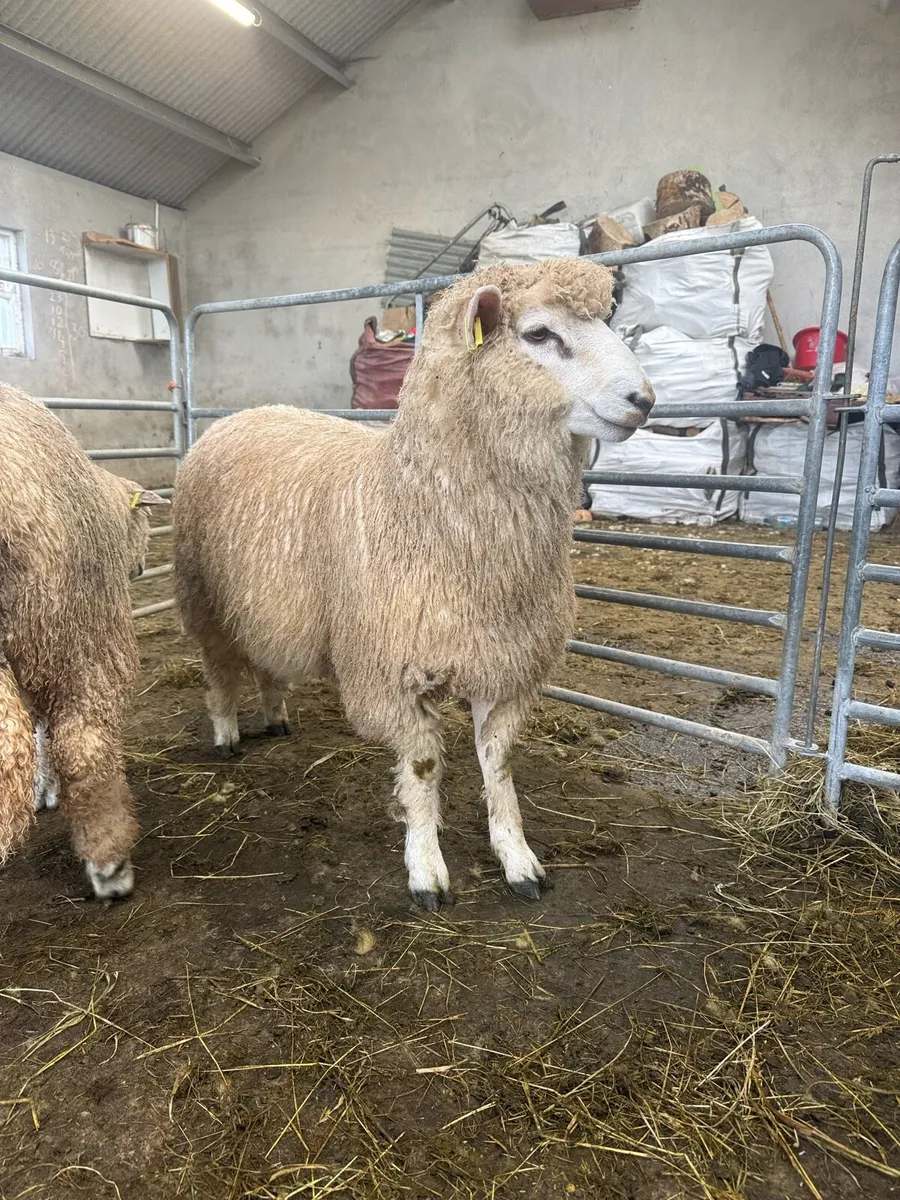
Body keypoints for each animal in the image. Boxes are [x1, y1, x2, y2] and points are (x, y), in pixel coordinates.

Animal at [0, 383, 166, 896]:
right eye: (143, 524)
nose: (140, 568)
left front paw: (43, 789)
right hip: (77, 626)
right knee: (82, 742)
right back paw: (110, 865)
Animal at [173, 258, 654, 909]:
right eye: (538, 334)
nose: (645, 400)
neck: (419, 505)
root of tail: (248, 412)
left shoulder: (505, 665)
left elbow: (499, 764)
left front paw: (517, 858)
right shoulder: (394, 675)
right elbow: (423, 769)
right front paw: (426, 869)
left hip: (273, 606)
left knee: (267, 663)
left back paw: (275, 715)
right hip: (203, 596)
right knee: (220, 668)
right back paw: (225, 731)